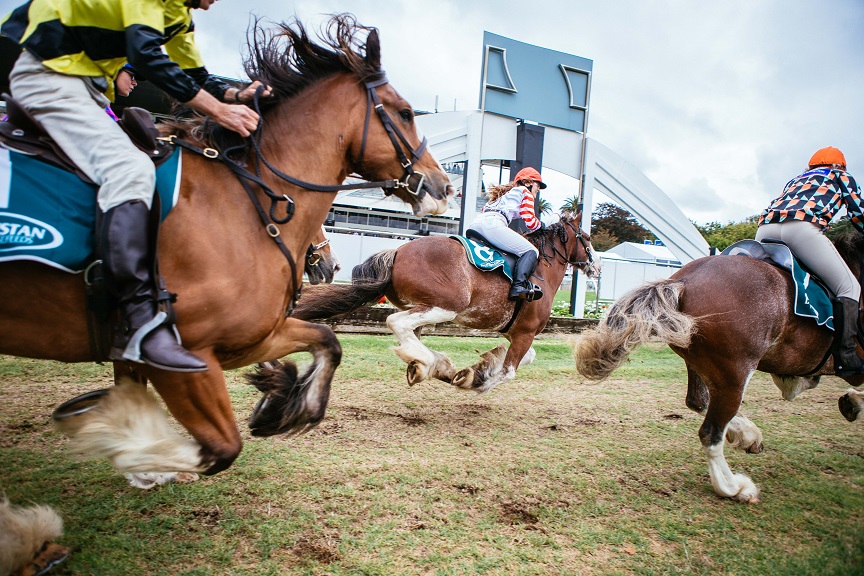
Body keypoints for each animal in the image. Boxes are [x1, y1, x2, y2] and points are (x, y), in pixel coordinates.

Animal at [0, 14, 456, 482]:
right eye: (405, 113)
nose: (445, 186)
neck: (237, 204)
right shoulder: (184, 357)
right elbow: (218, 448)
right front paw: (125, 447)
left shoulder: (249, 336)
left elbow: (328, 341)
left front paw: (279, 400)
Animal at [294, 212, 596, 392]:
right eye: (588, 238)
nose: (596, 267)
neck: (542, 268)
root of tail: (398, 251)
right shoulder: (525, 332)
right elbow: (508, 372)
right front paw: (477, 379)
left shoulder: (515, 332)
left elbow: (527, 357)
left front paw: (482, 366)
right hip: (445, 306)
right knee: (396, 322)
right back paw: (431, 363)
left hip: (422, 307)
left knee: (407, 330)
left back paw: (425, 364)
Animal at [572, 232, 864, 502]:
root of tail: (684, 281)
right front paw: (851, 401)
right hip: (735, 373)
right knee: (711, 432)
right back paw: (735, 487)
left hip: (702, 364)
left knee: (697, 402)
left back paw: (748, 435)